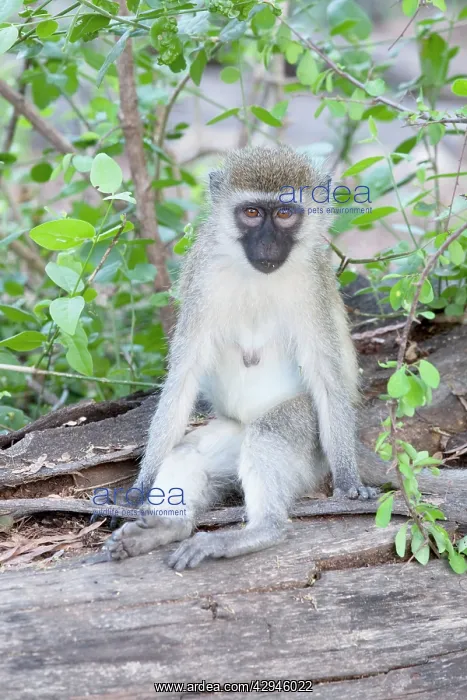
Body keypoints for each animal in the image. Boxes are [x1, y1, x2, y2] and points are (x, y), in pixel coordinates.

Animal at [105, 145, 388, 571]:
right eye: (252, 213)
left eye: (284, 214)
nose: (268, 246)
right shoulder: (203, 273)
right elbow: (184, 375)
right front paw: (141, 486)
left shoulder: (314, 284)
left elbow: (325, 376)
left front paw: (349, 482)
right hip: (231, 431)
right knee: (190, 452)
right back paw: (168, 527)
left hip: (309, 450)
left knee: (271, 433)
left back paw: (259, 531)